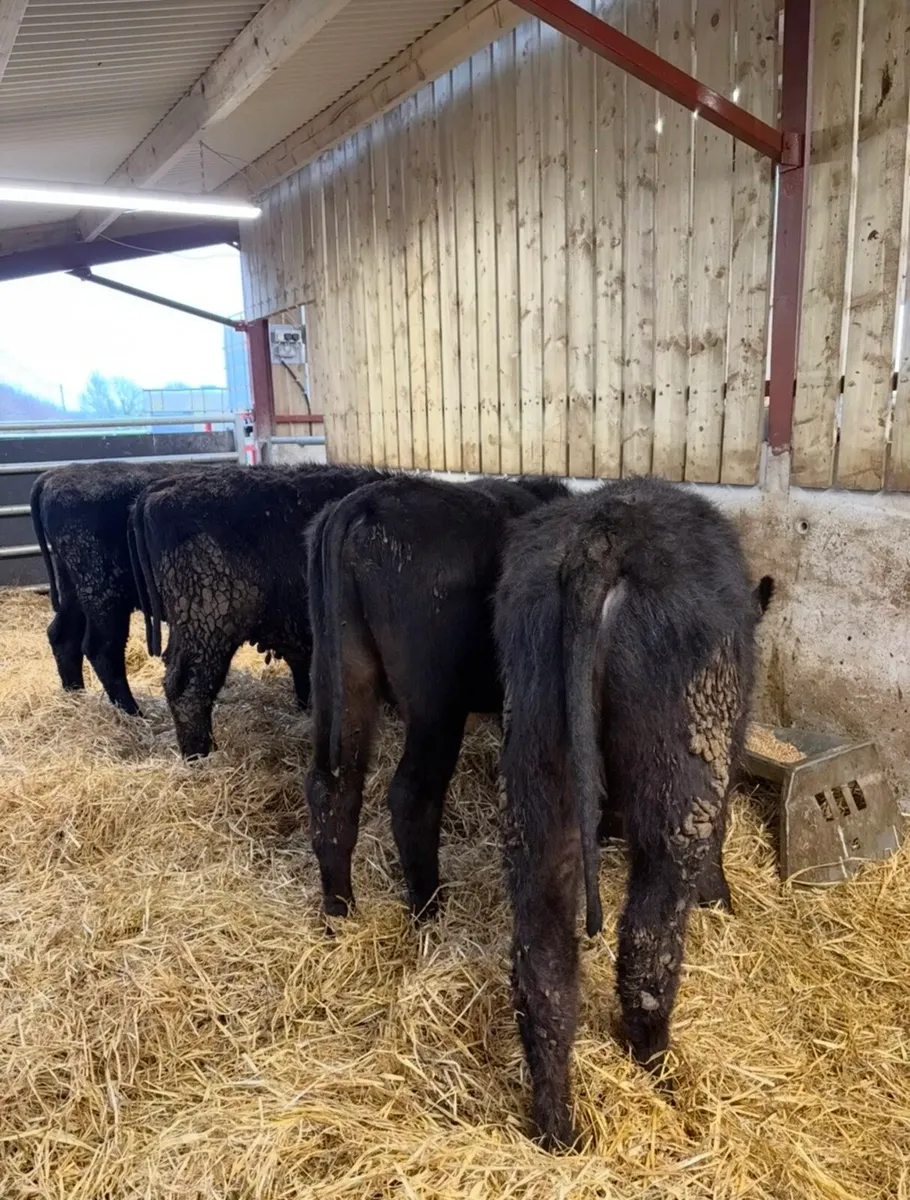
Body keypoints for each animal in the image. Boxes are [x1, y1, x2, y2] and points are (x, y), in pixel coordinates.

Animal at [30, 460, 210, 715]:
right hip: (103, 591)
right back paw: (133, 712)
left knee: (63, 636)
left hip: (73, 586)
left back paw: (76, 696)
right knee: (102, 648)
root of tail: (54, 476)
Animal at [304, 473, 569, 922]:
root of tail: (367, 501)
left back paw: (340, 912)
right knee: (411, 795)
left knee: (332, 787)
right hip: (434, 703)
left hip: (340, 675)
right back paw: (427, 906)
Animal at [493, 476, 774, 1149]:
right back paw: (660, 1069)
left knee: (542, 960)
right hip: (683, 774)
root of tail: (604, 537)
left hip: (536, 762)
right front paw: (721, 900)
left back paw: (559, 1131)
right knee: (649, 938)